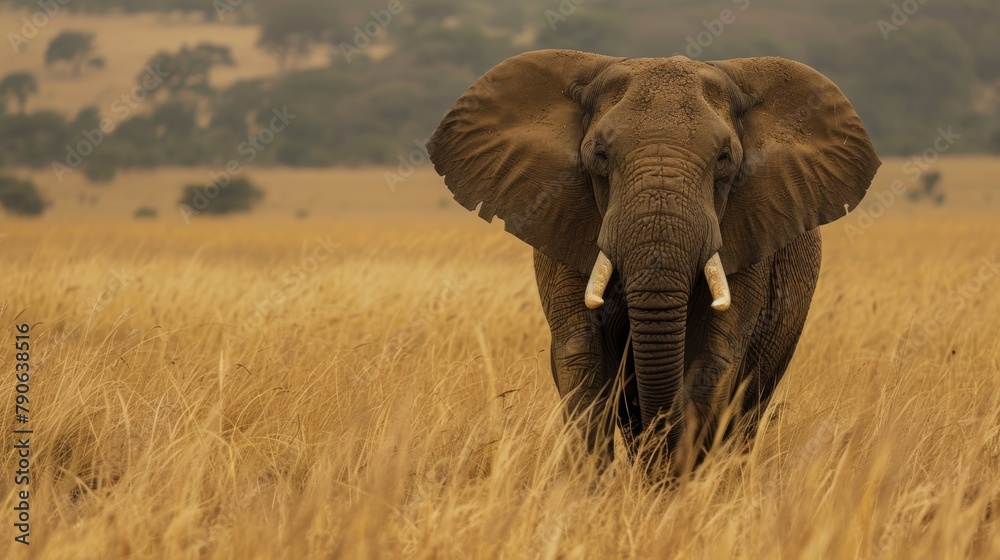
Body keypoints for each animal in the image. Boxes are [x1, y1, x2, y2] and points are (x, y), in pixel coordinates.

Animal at [427, 50, 880, 475]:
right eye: (600, 154)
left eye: (724, 158)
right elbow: (582, 359)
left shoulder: (750, 232)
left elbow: (712, 362)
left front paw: (672, 490)